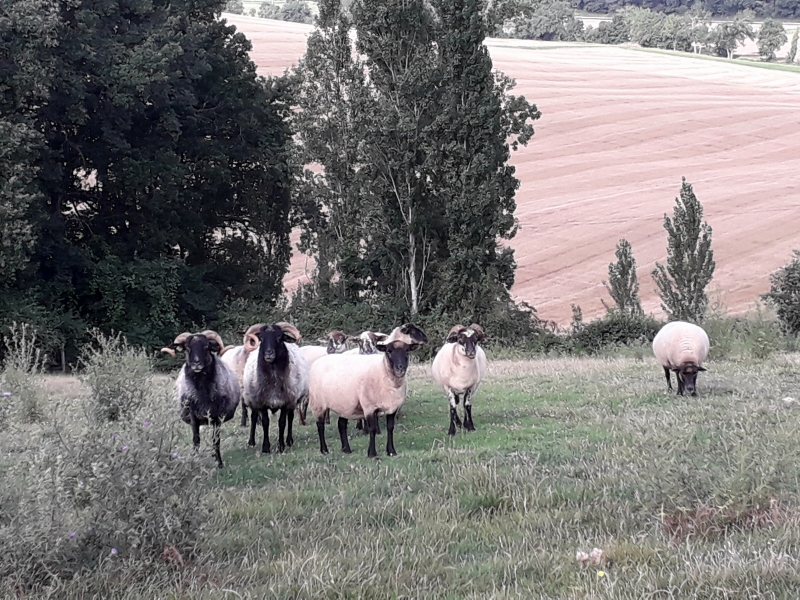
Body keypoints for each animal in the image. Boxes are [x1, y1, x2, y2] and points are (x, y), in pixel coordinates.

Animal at [161, 330, 239, 468]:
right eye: (187, 348)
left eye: (206, 347)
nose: (196, 363)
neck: (202, 393)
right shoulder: (193, 417)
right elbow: (196, 440)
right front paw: (194, 461)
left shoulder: (217, 417)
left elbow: (216, 440)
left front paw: (219, 463)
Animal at [242, 322, 310, 454]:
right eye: (261, 338)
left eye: (279, 338)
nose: (269, 353)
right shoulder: (261, 402)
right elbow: (265, 422)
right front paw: (265, 447)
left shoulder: (286, 402)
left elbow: (282, 423)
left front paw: (281, 446)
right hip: (252, 398)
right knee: (253, 417)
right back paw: (251, 442)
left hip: (293, 399)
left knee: (290, 417)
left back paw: (289, 440)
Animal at [308, 323, 428, 457]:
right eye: (389, 351)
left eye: (407, 351)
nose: (400, 368)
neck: (383, 370)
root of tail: (320, 360)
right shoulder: (369, 407)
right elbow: (372, 429)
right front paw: (372, 453)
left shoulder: (392, 407)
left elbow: (390, 428)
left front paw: (391, 451)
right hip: (318, 403)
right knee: (320, 426)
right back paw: (324, 450)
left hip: (344, 403)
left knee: (341, 425)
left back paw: (346, 449)